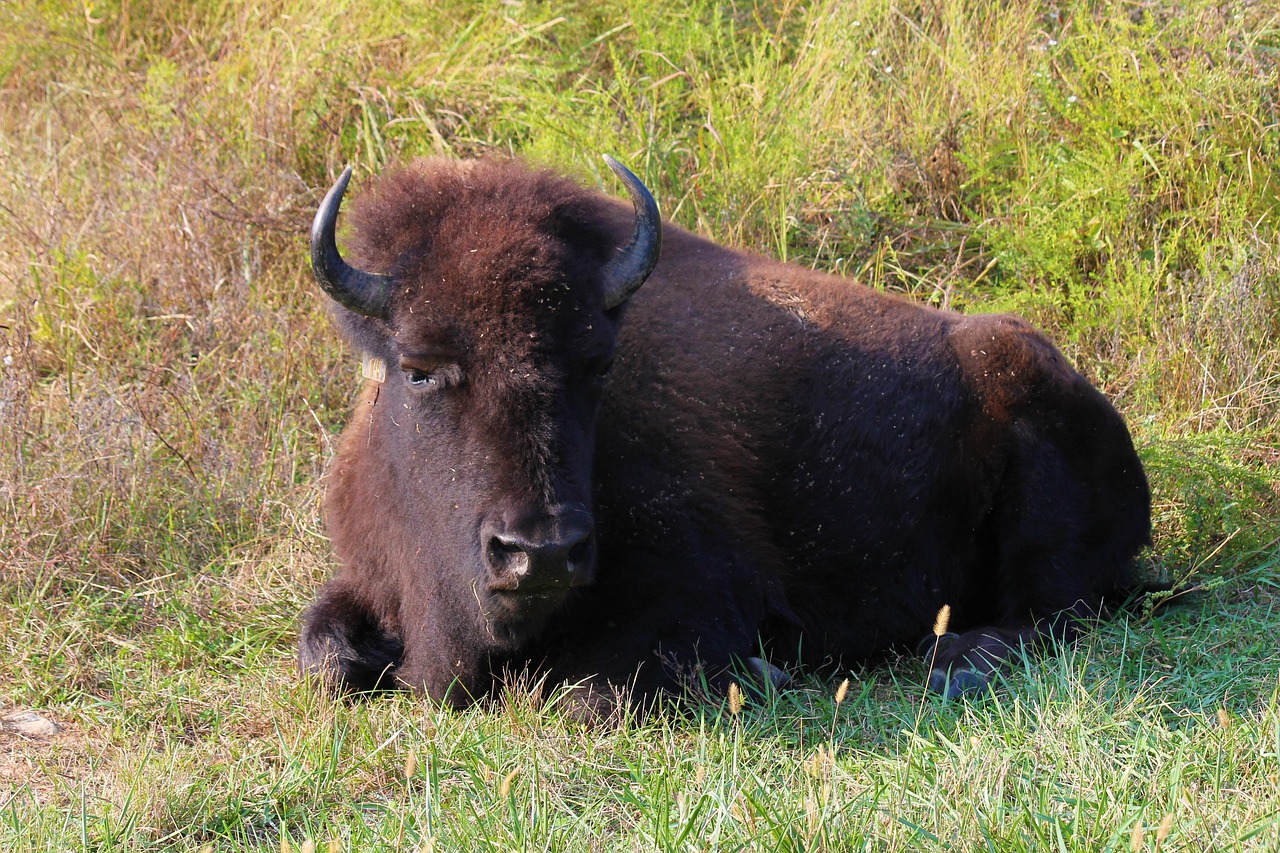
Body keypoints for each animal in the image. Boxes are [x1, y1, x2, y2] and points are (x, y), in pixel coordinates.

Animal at [296, 154, 1152, 712]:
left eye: (598, 361)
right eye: (418, 368)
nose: (540, 552)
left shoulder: (703, 590)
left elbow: (584, 694)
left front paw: (763, 673)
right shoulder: (368, 579)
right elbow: (324, 657)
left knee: (1048, 614)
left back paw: (956, 660)